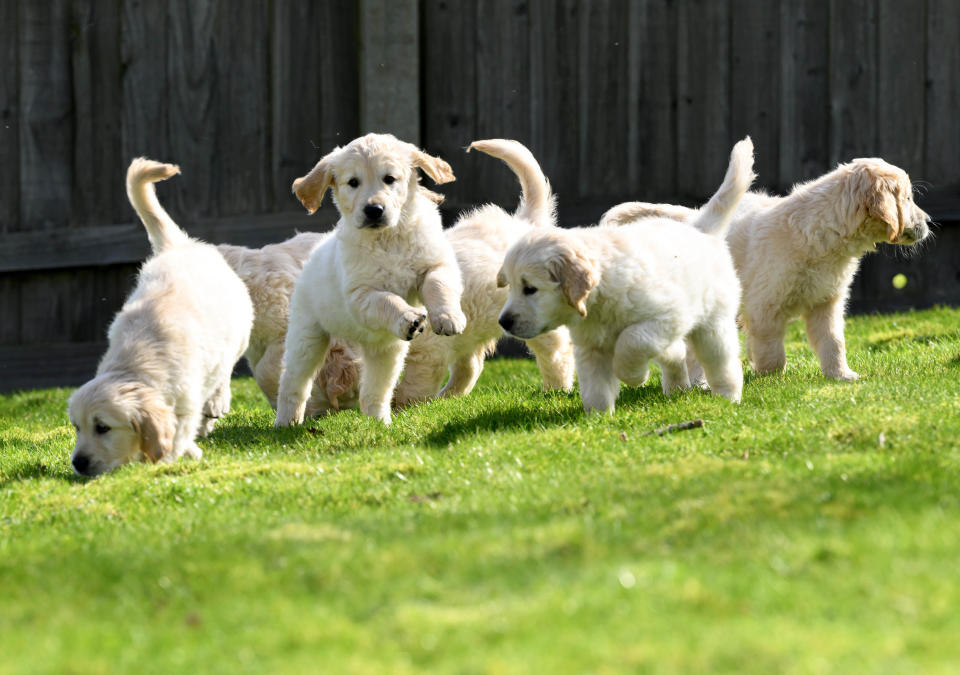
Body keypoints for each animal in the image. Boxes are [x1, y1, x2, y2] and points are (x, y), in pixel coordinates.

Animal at [69, 159, 253, 478]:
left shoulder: (186, 400)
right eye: (77, 427)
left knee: (226, 368)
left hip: (240, 329)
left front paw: (167, 458)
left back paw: (218, 400)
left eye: (103, 428)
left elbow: (176, 435)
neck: (134, 366)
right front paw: (190, 451)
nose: (78, 463)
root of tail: (177, 246)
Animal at [274, 134, 464, 426]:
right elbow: (387, 299)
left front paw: (447, 317)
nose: (374, 209)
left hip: (386, 351)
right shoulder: (361, 294)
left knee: (375, 390)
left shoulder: (435, 264)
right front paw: (408, 316)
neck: (388, 238)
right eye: (353, 182)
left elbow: (438, 285)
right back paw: (286, 423)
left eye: (390, 179)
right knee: (294, 382)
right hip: (307, 336)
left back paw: (380, 423)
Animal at [394, 139, 572, 406]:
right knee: (471, 367)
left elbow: (414, 384)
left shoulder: (428, 351)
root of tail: (525, 222)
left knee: (556, 352)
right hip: (471, 330)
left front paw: (400, 407)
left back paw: (557, 389)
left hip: (535, 317)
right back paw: (448, 396)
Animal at [496, 139, 756, 412]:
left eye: (530, 289)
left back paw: (728, 397)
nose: (504, 322)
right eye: (511, 287)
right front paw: (598, 417)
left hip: (713, 325)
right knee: (676, 354)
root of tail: (699, 228)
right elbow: (595, 387)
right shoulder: (591, 347)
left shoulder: (665, 318)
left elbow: (631, 343)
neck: (599, 297)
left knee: (722, 363)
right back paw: (676, 388)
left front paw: (635, 376)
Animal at [600, 157, 928, 380]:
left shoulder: (826, 302)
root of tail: (691, 219)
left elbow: (833, 341)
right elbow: (771, 349)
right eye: (907, 198)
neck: (822, 234)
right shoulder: (765, 306)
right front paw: (771, 378)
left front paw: (840, 375)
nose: (929, 223)